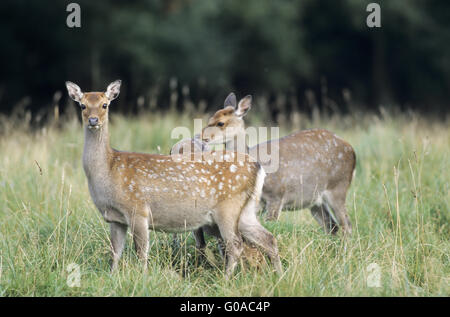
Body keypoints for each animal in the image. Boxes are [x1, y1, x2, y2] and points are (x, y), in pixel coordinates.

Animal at [64, 80, 282, 276]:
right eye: (82, 105)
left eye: (105, 104)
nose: (93, 120)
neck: (108, 172)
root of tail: (258, 167)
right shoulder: (115, 218)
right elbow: (115, 253)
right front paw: (112, 278)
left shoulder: (137, 209)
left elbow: (141, 252)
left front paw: (143, 278)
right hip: (246, 211)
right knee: (268, 239)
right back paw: (278, 276)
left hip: (228, 207)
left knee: (235, 245)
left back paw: (227, 280)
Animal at [201, 92, 356, 233]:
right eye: (210, 118)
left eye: (221, 123)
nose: (203, 138)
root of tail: (352, 151)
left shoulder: (276, 195)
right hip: (315, 200)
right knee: (332, 226)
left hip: (338, 187)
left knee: (346, 225)